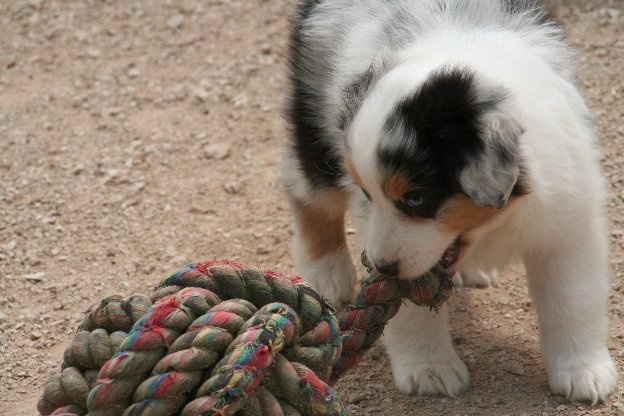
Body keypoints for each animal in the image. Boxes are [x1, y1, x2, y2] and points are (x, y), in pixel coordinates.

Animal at [282, 0, 620, 404]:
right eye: (366, 193)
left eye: (415, 199)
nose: (381, 266)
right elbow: (410, 310)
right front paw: (429, 370)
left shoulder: (570, 215)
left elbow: (574, 298)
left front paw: (584, 372)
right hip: (311, 109)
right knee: (310, 194)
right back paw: (328, 274)